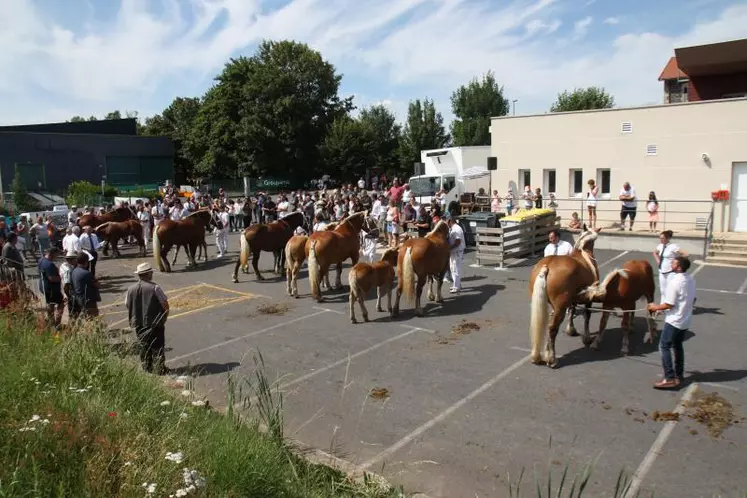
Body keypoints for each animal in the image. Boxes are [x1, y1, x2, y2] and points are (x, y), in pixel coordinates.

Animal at [528, 228, 604, 368]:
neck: (583, 255)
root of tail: (546, 267)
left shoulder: (573, 298)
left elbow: (572, 311)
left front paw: (571, 330)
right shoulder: (589, 299)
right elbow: (587, 316)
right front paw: (587, 338)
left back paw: (539, 355)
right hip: (560, 308)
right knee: (552, 328)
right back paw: (551, 359)